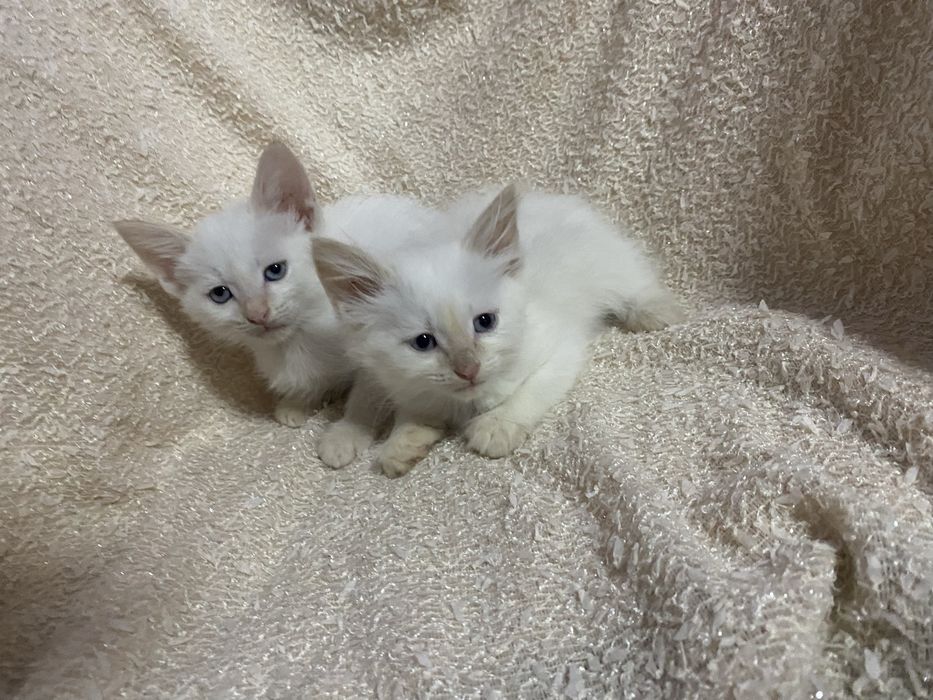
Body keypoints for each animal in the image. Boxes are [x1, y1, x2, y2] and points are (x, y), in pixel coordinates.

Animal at [114, 142, 437, 427]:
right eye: (220, 294)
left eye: (275, 271)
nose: (257, 314)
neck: (299, 339)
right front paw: (298, 404)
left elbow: (371, 388)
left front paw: (347, 432)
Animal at [313, 183, 685, 476]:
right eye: (423, 342)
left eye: (485, 322)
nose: (468, 369)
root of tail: (545, 197)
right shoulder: (387, 371)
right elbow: (395, 403)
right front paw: (401, 442)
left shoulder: (560, 348)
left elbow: (531, 390)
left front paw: (495, 426)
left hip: (607, 263)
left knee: (633, 283)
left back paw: (656, 311)